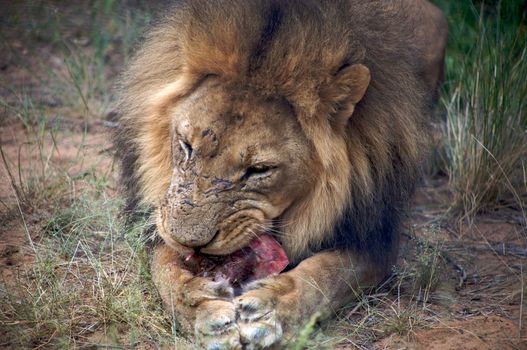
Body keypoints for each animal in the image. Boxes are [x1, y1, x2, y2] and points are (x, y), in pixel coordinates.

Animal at [113, 1, 448, 348]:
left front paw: (271, 309)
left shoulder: (375, 237)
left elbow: (330, 274)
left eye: (259, 170)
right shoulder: (159, 218)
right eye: (187, 145)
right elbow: (164, 268)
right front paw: (204, 310)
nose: (189, 243)